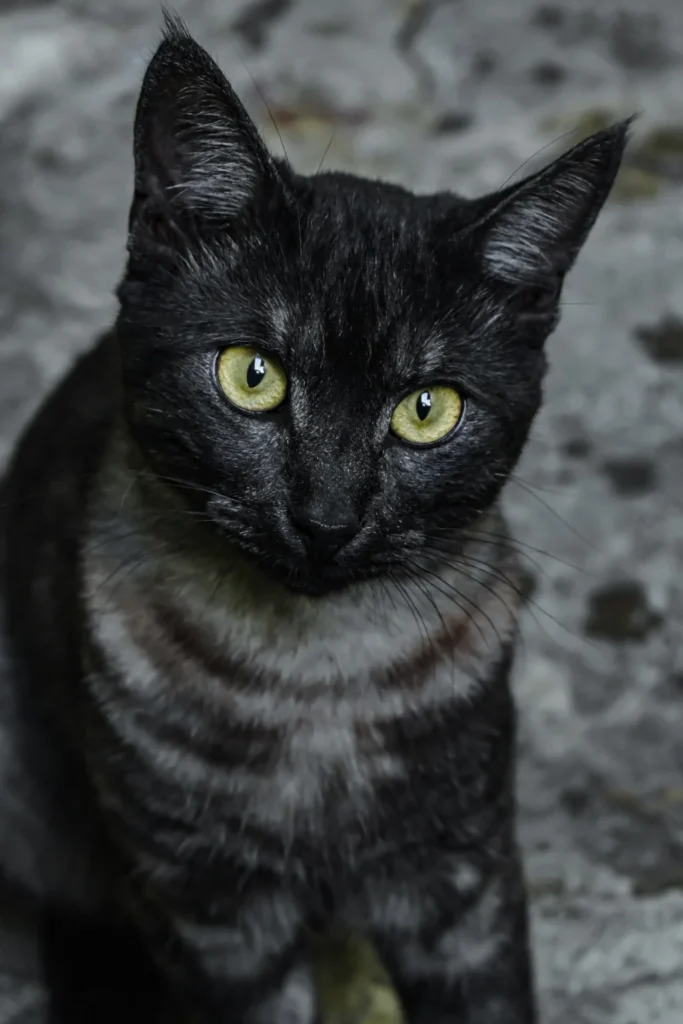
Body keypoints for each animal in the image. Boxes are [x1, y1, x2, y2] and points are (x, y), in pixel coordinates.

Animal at [0, 14, 630, 1024]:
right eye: (251, 375)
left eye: (427, 409)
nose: (327, 517)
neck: (318, 684)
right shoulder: (212, 916)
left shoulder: (464, 879)